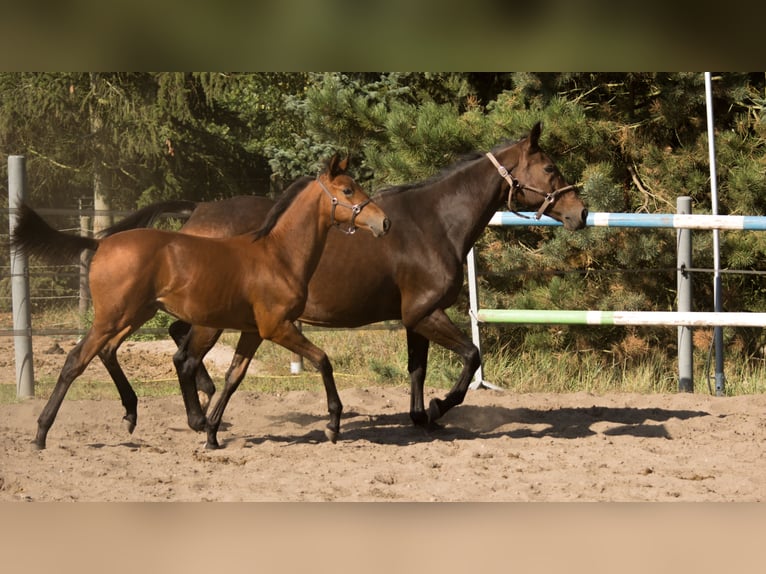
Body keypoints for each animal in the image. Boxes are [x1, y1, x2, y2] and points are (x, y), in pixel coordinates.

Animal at [13, 154, 390, 450]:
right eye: (347, 190)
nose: (383, 222)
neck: (278, 255)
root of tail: (100, 244)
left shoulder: (252, 332)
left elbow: (234, 376)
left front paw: (211, 432)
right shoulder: (277, 328)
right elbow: (322, 360)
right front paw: (333, 424)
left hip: (137, 314)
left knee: (110, 352)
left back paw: (134, 413)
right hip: (116, 317)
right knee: (77, 360)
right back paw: (41, 433)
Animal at [109, 121, 588, 448]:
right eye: (550, 167)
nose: (580, 212)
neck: (435, 222)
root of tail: (198, 211)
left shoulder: (414, 317)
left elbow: (417, 369)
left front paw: (421, 417)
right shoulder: (426, 313)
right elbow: (471, 356)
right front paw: (438, 407)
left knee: (180, 345)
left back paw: (204, 407)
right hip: (211, 317)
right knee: (183, 356)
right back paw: (197, 416)